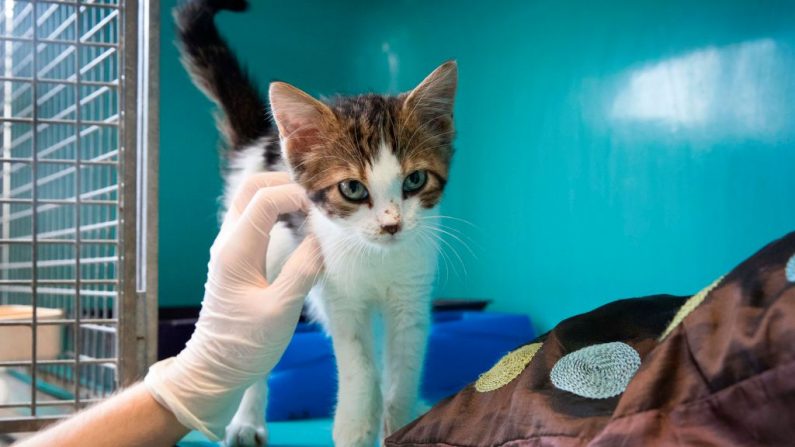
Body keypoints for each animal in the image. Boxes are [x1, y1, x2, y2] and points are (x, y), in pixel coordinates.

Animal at [176, 1, 458, 446]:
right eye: (352, 188)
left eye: (414, 180)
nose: (392, 225)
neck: (377, 257)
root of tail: (264, 142)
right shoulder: (340, 296)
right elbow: (360, 366)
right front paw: (356, 426)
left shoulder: (410, 297)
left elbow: (402, 367)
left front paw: (401, 420)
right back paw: (246, 422)